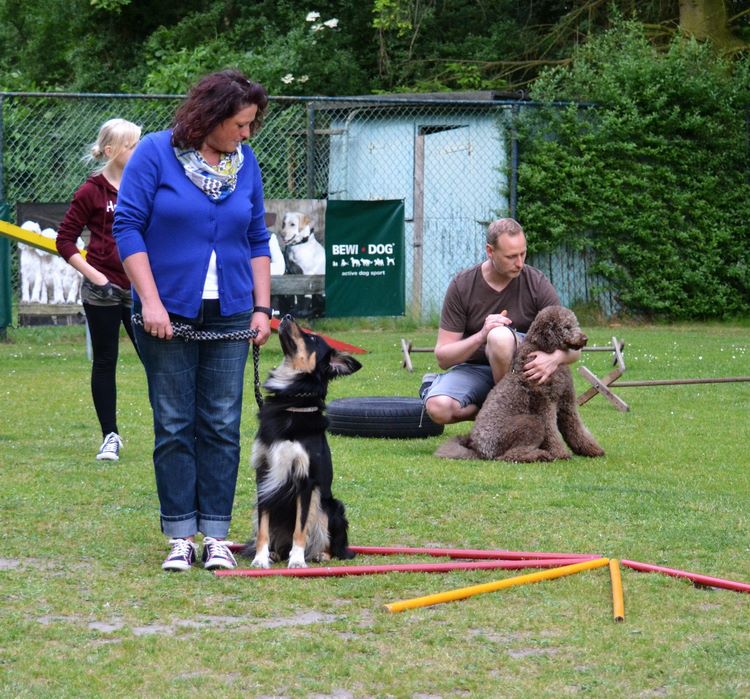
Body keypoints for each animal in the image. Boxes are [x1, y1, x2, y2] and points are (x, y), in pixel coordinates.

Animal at [438, 308, 608, 464]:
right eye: (566, 327)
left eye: (576, 324)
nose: (585, 339)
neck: (542, 350)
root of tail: (478, 449)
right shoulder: (544, 405)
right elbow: (551, 432)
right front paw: (560, 453)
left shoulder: (567, 403)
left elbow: (576, 428)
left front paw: (591, 449)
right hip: (531, 423)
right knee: (509, 456)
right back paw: (541, 455)